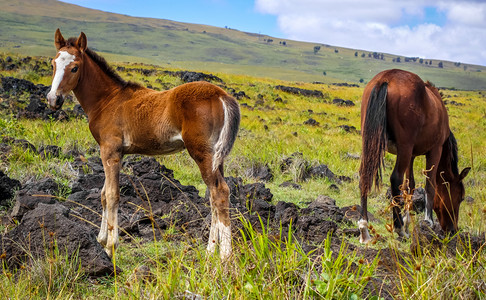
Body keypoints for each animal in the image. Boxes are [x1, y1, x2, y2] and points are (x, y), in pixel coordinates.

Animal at [47, 28, 241, 258]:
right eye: (53, 64)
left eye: (75, 67)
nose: (53, 100)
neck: (108, 100)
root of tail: (222, 95)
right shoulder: (115, 153)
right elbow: (103, 194)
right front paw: (101, 240)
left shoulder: (110, 151)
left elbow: (112, 195)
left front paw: (111, 248)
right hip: (217, 157)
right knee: (213, 195)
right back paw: (210, 250)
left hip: (202, 153)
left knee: (220, 193)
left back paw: (225, 256)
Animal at [358, 69, 468, 243]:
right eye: (461, 197)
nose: (452, 230)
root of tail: (385, 78)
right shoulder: (435, 150)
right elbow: (430, 185)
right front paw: (427, 221)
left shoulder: (412, 155)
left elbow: (410, 185)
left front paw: (407, 221)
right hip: (404, 147)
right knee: (395, 179)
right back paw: (398, 229)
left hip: (370, 143)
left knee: (365, 175)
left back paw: (364, 229)